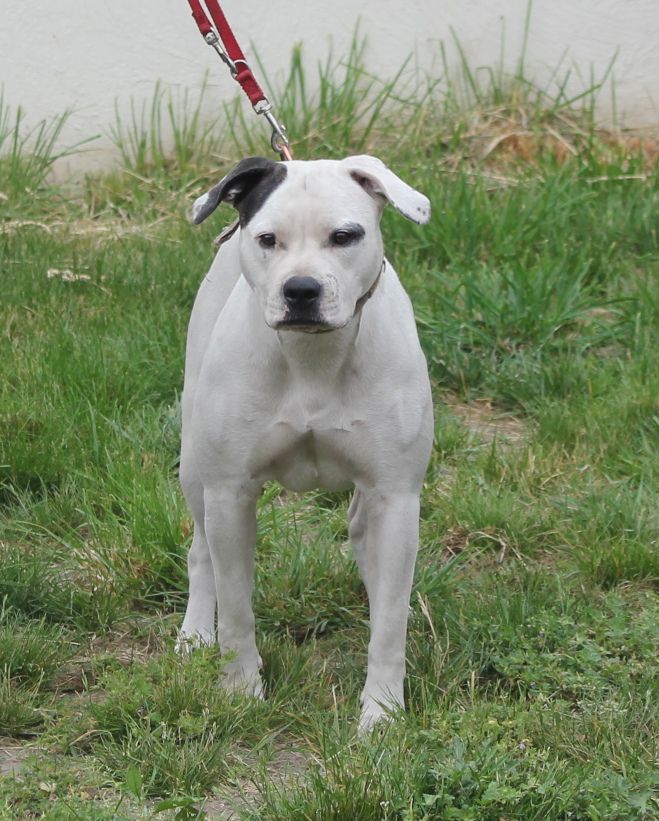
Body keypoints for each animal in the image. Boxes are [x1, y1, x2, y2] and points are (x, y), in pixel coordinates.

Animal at [178, 155, 434, 732]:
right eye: (267, 239)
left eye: (344, 236)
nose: (301, 289)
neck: (312, 358)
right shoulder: (229, 496)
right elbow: (237, 610)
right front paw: (240, 691)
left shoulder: (396, 496)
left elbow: (391, 625)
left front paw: (382, 713)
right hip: (194, 466)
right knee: (200, 550)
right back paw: (194, 631)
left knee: (364, 536)